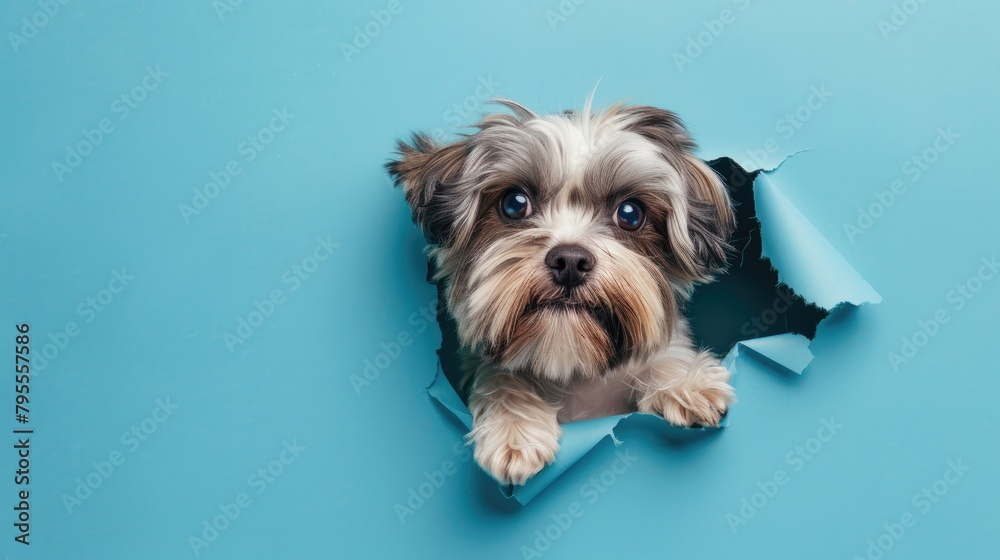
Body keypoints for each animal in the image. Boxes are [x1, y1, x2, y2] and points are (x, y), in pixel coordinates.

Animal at [386, 96, 740, 486]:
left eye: (630, 214)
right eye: (514, 203)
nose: (570, 261)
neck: (572, 370)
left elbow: (664, 355)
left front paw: (685, 382)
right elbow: (498, 376)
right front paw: (514, 429)